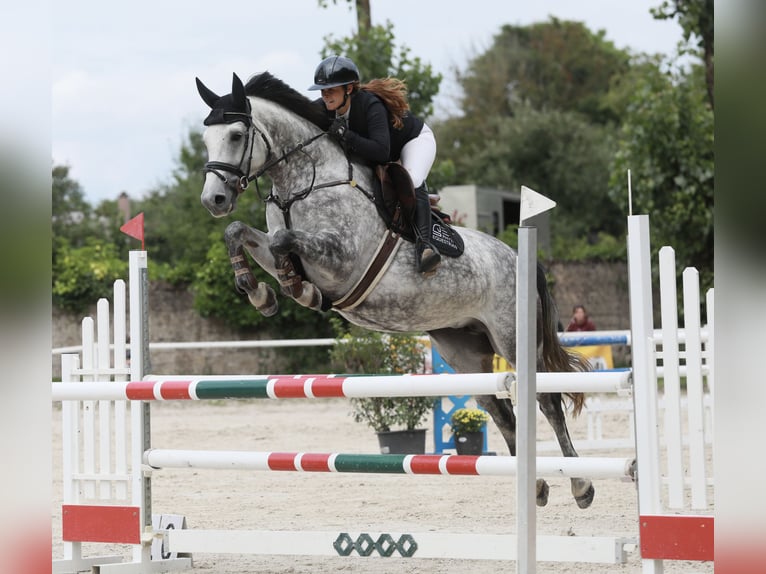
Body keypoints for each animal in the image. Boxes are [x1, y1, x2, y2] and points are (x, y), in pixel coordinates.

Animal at [195, 72, 594, 509]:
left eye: (236, 135)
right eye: (206, 138)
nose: (213, 200)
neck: (303, 184)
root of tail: (518, 256)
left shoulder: (342, 259)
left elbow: (285, 240)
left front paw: (297, 290)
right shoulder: (273, 245)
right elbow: (241, 233)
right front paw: (261, 293)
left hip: (512, 337)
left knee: (548, 402)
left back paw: (581, 486)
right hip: (463, 349)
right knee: (501, 410)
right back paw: (535, 487)